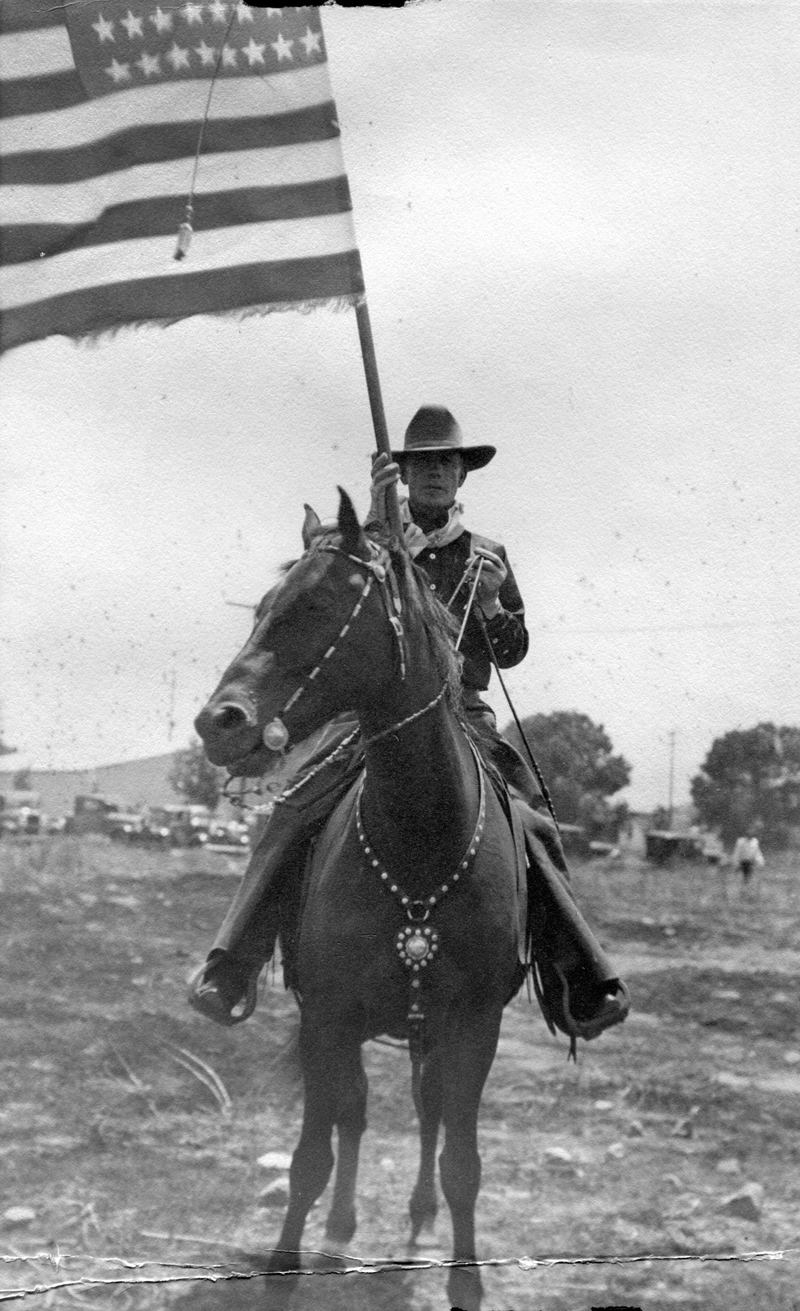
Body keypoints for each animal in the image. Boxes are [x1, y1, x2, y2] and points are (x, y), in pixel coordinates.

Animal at [194, 490, 527, 1310]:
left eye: (317, 604)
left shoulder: (474, 1025)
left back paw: (416, 1221)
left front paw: (464, 1280)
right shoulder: (328, 1015)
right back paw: (342, 1228)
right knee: (355, 1112)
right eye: (262, 607)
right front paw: (284, 1273)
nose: (220, 723)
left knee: (428, 1113)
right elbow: (312, 1153)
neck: (420, 842)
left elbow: (463, 1161)